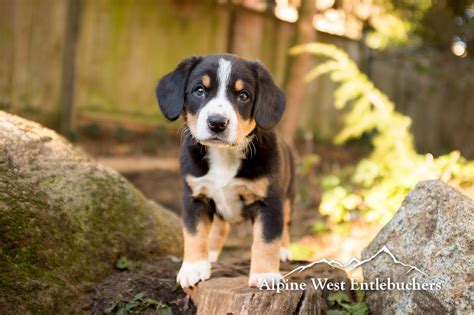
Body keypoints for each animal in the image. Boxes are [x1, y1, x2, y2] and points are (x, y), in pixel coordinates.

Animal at [156, 54, 294, 288]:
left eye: (243, 95)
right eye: (199, 90)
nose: (217, 122)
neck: (224, 155)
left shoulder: (270, 200)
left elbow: (267, 239)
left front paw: (265, 275)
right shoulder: (194, 196)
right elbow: (194, 234)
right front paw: (194, 268)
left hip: (288, 196)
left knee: (284, 224)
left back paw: (283, 251)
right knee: (220, 228)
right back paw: (210, 254)